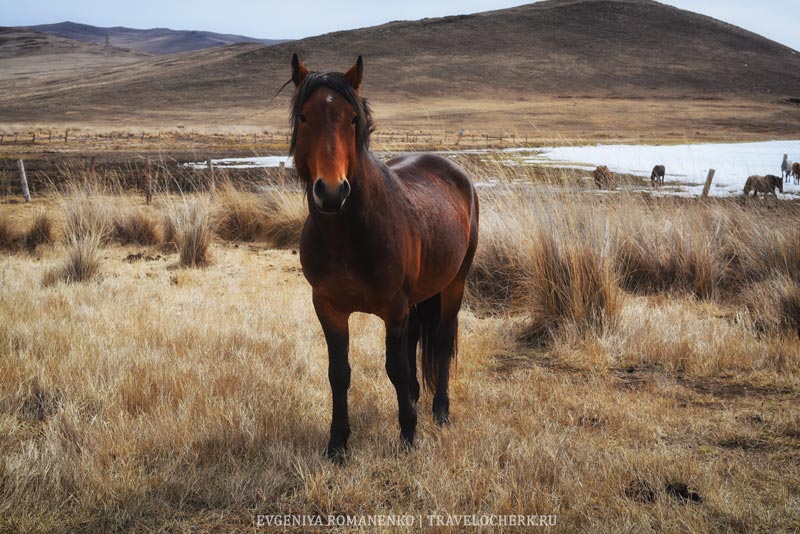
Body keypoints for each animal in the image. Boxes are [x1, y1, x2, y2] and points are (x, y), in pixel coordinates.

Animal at [292, 54, 482, 460]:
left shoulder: (393, 308)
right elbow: (339, 373)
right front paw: (337, 443)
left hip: (454, 284)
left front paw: (408, 435)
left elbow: (394, 367)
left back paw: (440, 411)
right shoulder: (328, 307)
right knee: (414, 342)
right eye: (303, 116)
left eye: (353, 118)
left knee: (441, 342)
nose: (331, 192)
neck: (348, 236)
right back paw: (415, 397)